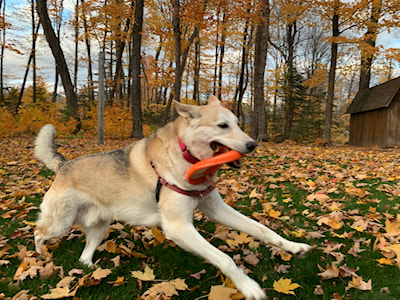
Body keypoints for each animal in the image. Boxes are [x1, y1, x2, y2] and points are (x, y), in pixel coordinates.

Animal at [33, 96, 310, 300]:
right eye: (223, 126)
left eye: (238, 123)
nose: (253, 145)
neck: (187, 159)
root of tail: (63, 165)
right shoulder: (179, 227)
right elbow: (226, 259)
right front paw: (248, 286)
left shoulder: (216, 208)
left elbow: (263, 230)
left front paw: (294, 246)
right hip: (60, 223)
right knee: (39, 232)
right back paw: (40, 255)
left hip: (99, 226)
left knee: (83, 253)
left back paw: (90, 266)